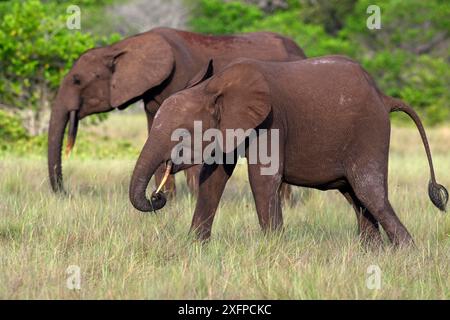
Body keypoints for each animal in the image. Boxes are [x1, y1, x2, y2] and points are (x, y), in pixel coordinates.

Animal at [48, 27, 306, 196]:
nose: (64, 192)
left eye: (77, 80)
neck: (122, 47)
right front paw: (170, 201)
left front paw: (190, 198)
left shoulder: (182, 79)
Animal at [128, 55, 448, 246]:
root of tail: (384, 97)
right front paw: (195, 248)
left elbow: (263, 179)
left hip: (370, 131)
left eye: (181, 135)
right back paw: (374, 254)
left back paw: (408, 254)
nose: (157, 198)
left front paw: (272, 250)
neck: (212, 87)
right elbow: (213, 179)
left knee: (370, 193)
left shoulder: (271, 121)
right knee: (356, 197)